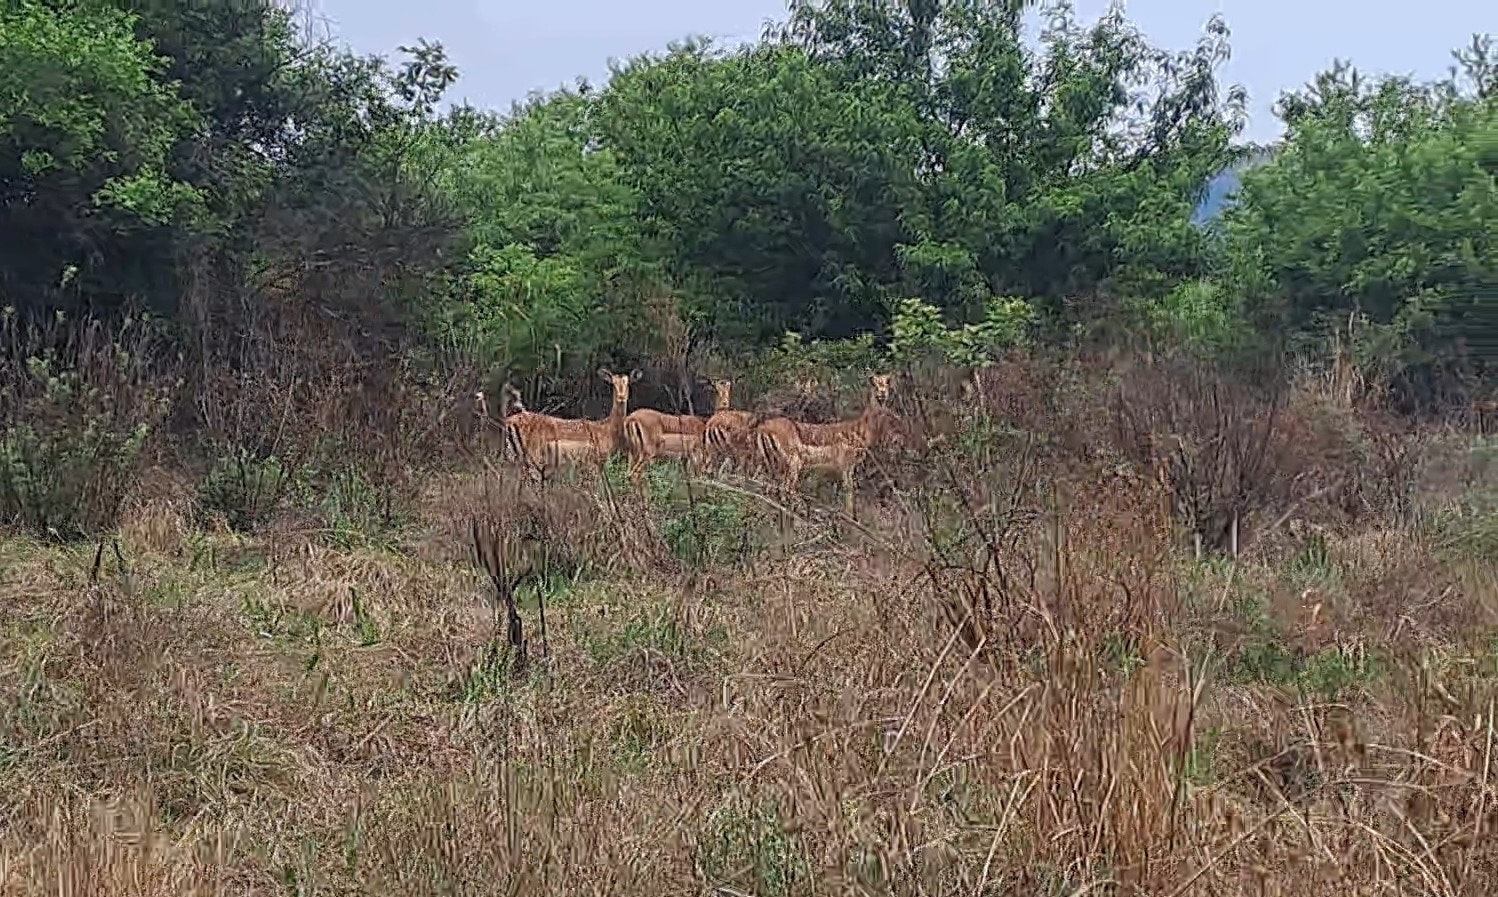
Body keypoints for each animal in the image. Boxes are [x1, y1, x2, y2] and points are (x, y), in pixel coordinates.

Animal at [755, 373, 894, 515]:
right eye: (874, 384)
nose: (882, 393)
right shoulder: (846, 465)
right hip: (793, 463)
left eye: (887, 383)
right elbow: (848, 491)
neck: (860, 431)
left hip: (769, 463)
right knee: (786, 489)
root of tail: (763, 428)